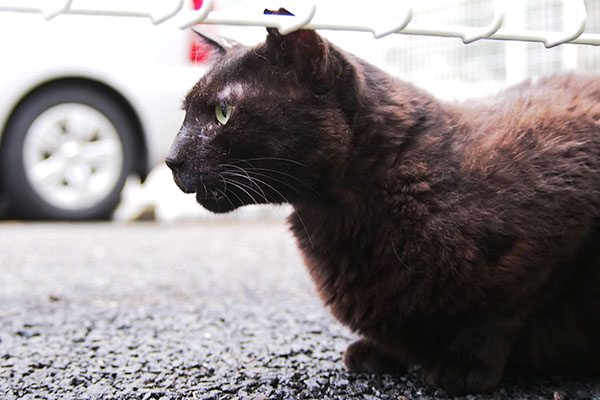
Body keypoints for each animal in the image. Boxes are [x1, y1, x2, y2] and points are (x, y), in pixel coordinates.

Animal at [164, 14, 600, 396]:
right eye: (184, 114)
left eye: (223, 113)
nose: (170, 159)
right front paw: (382, 352)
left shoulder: (560, 232)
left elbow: (501, 313)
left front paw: (464, 364)